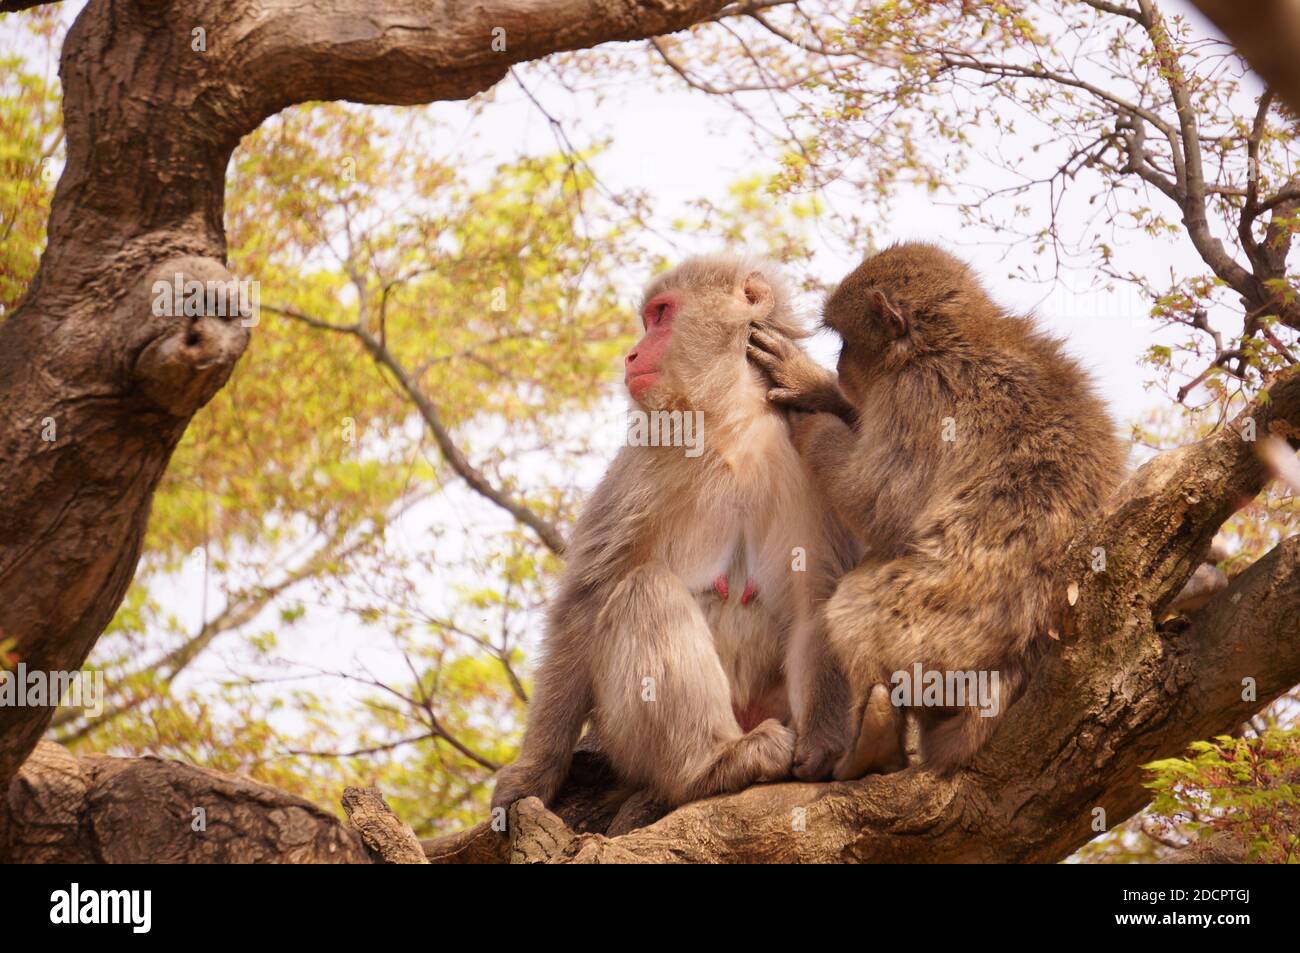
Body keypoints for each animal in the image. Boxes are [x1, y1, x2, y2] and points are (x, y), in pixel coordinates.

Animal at [491, 250, 857, 811]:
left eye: (660, 315)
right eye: (648, 320)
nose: (631, 354)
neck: (733, 421)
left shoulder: (820, 442)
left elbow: (821, 594)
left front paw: (825, 743)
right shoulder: (646, 457)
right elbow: (587, 598)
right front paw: (536, 770)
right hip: (624, 733)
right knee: (644, 589)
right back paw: (710, 764)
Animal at [748, 241, 1133, 774]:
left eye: (847, 340)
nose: (840, 365)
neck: (946, 340)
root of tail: (1020, 661)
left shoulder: (918, 393)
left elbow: (880, 504)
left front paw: (815, 424)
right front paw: (812, 385)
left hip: (940, 638)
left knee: (855, 604)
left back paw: (873, 741)